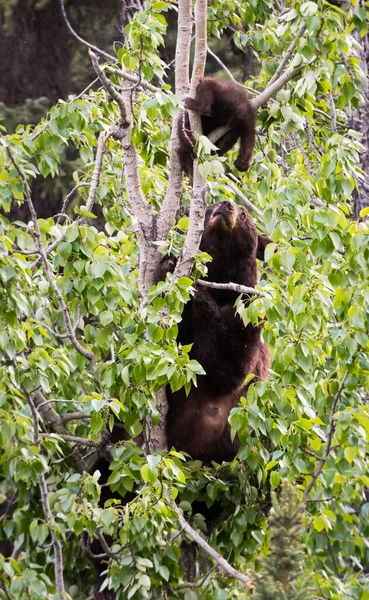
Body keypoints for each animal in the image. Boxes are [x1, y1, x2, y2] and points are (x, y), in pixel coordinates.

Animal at [165, 199, 268, 462]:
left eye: (244, 214)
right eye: (211, 206)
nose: (227, 204)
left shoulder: (248, 311)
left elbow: (228, 365)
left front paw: (195, 287)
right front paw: (166, 263)